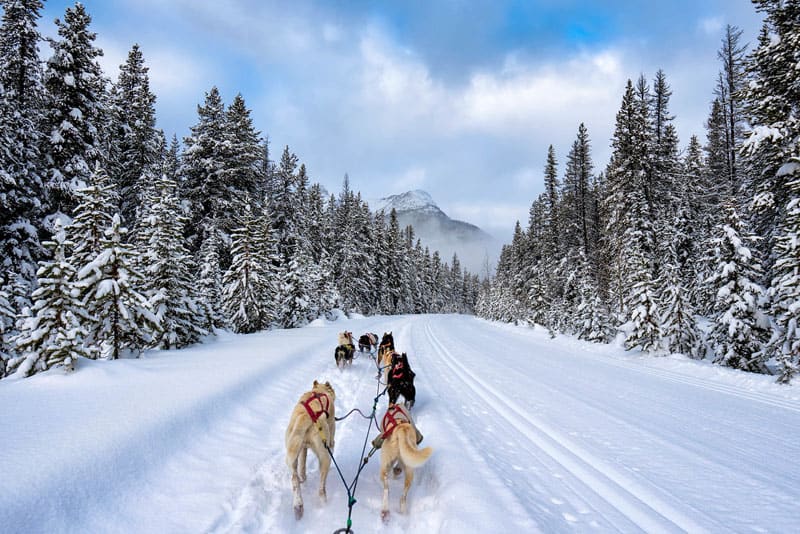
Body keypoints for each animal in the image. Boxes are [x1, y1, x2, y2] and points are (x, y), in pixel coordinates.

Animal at [286, 382, 336, 524]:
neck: (319, 391)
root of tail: (306, 416)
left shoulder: (303, 448)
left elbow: (303, 466)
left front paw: (304, 478)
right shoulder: (331, 440)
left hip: (293, 451)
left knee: (295, 479)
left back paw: (298, 506)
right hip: (325, 456)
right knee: (321, 488)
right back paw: (324, 503)